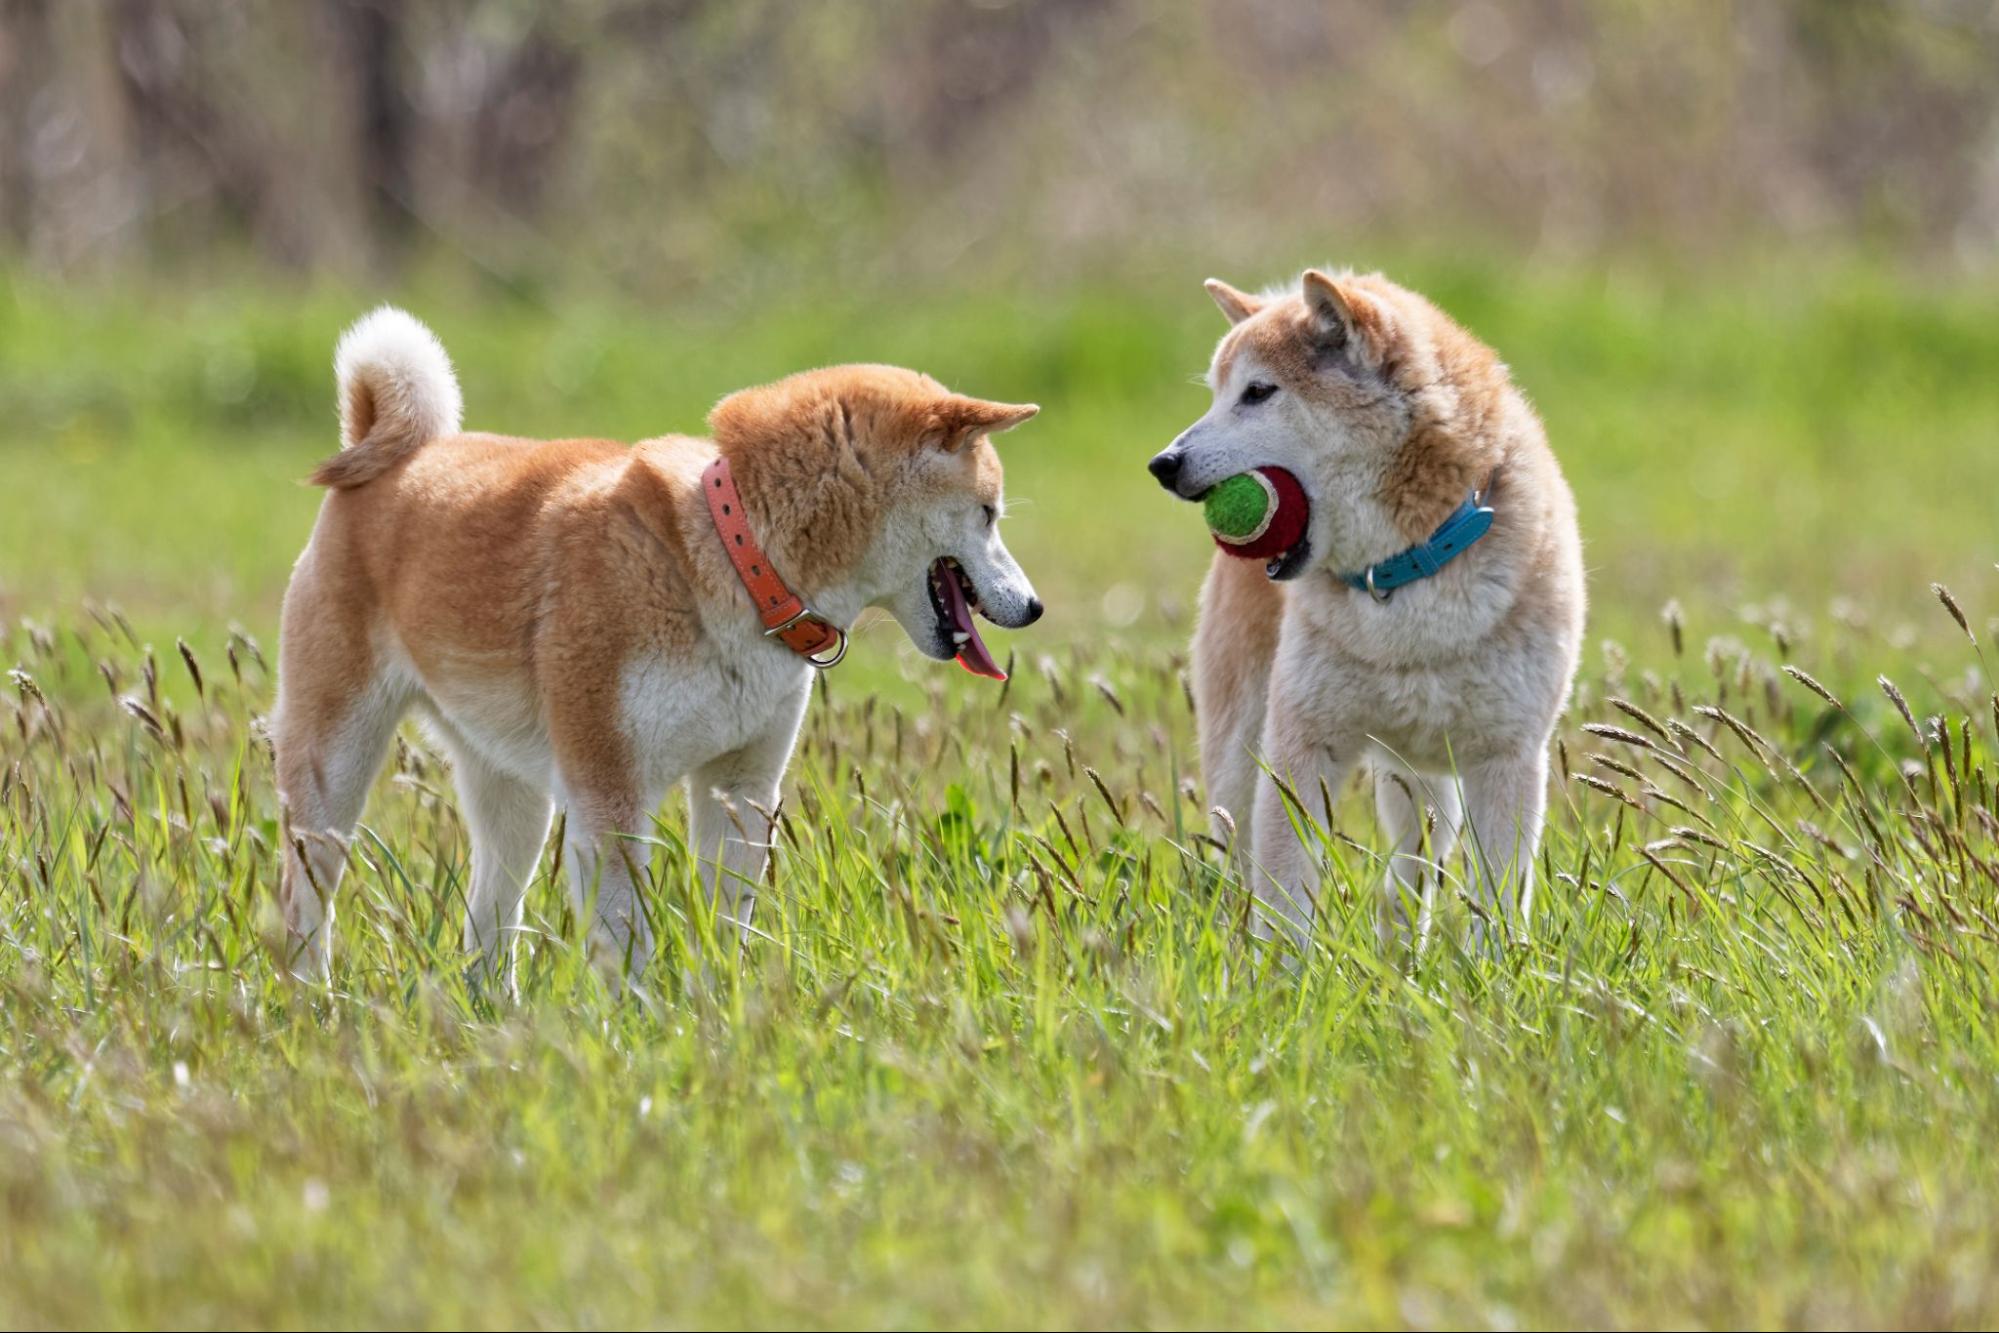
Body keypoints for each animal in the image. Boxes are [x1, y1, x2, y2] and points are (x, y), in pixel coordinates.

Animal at [277, 307, 1047, 987]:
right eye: (988, 512)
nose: (1035, 606)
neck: (737, 556)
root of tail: (399, 456)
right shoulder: (610, 795)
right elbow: (628, 940)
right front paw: (631, 1027)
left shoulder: (740, 788)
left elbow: (726, 925)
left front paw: (723, 1008)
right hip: (334, 770)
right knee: (307, 901)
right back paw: (314, 1000)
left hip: (513, 799)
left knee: (489, 926)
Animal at [1151, 271, 1583, 947]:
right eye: (1217, 395)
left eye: (1258, 392)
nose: (1163, 464)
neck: (1405, 571)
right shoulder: (1301, 746)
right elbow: (1285, 902)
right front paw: (1280, 973)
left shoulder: (1507, 757)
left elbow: (1496, 900)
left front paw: (1496, 969)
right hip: (1241, 752)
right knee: (1235, 862)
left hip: (1424, 779)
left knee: (1410, 873)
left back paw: (1402, 951)